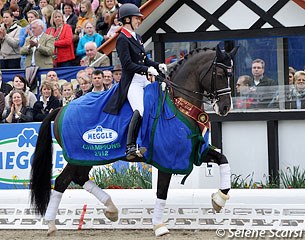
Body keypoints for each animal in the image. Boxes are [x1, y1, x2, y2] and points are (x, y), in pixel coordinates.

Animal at [29, 44, 236, 237]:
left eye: (230, 75)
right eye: (219, 74)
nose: (225, 108)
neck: (178, 103)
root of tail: (62, 108)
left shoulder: (195, 150)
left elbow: (223, 159)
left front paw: (219, 200)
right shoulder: (168, 157)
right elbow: (162, 191)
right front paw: (159, 226)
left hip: (86, 156)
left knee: (79, 178)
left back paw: (111, 209)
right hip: (78, 156)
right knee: (62, 182)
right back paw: (51, 225)